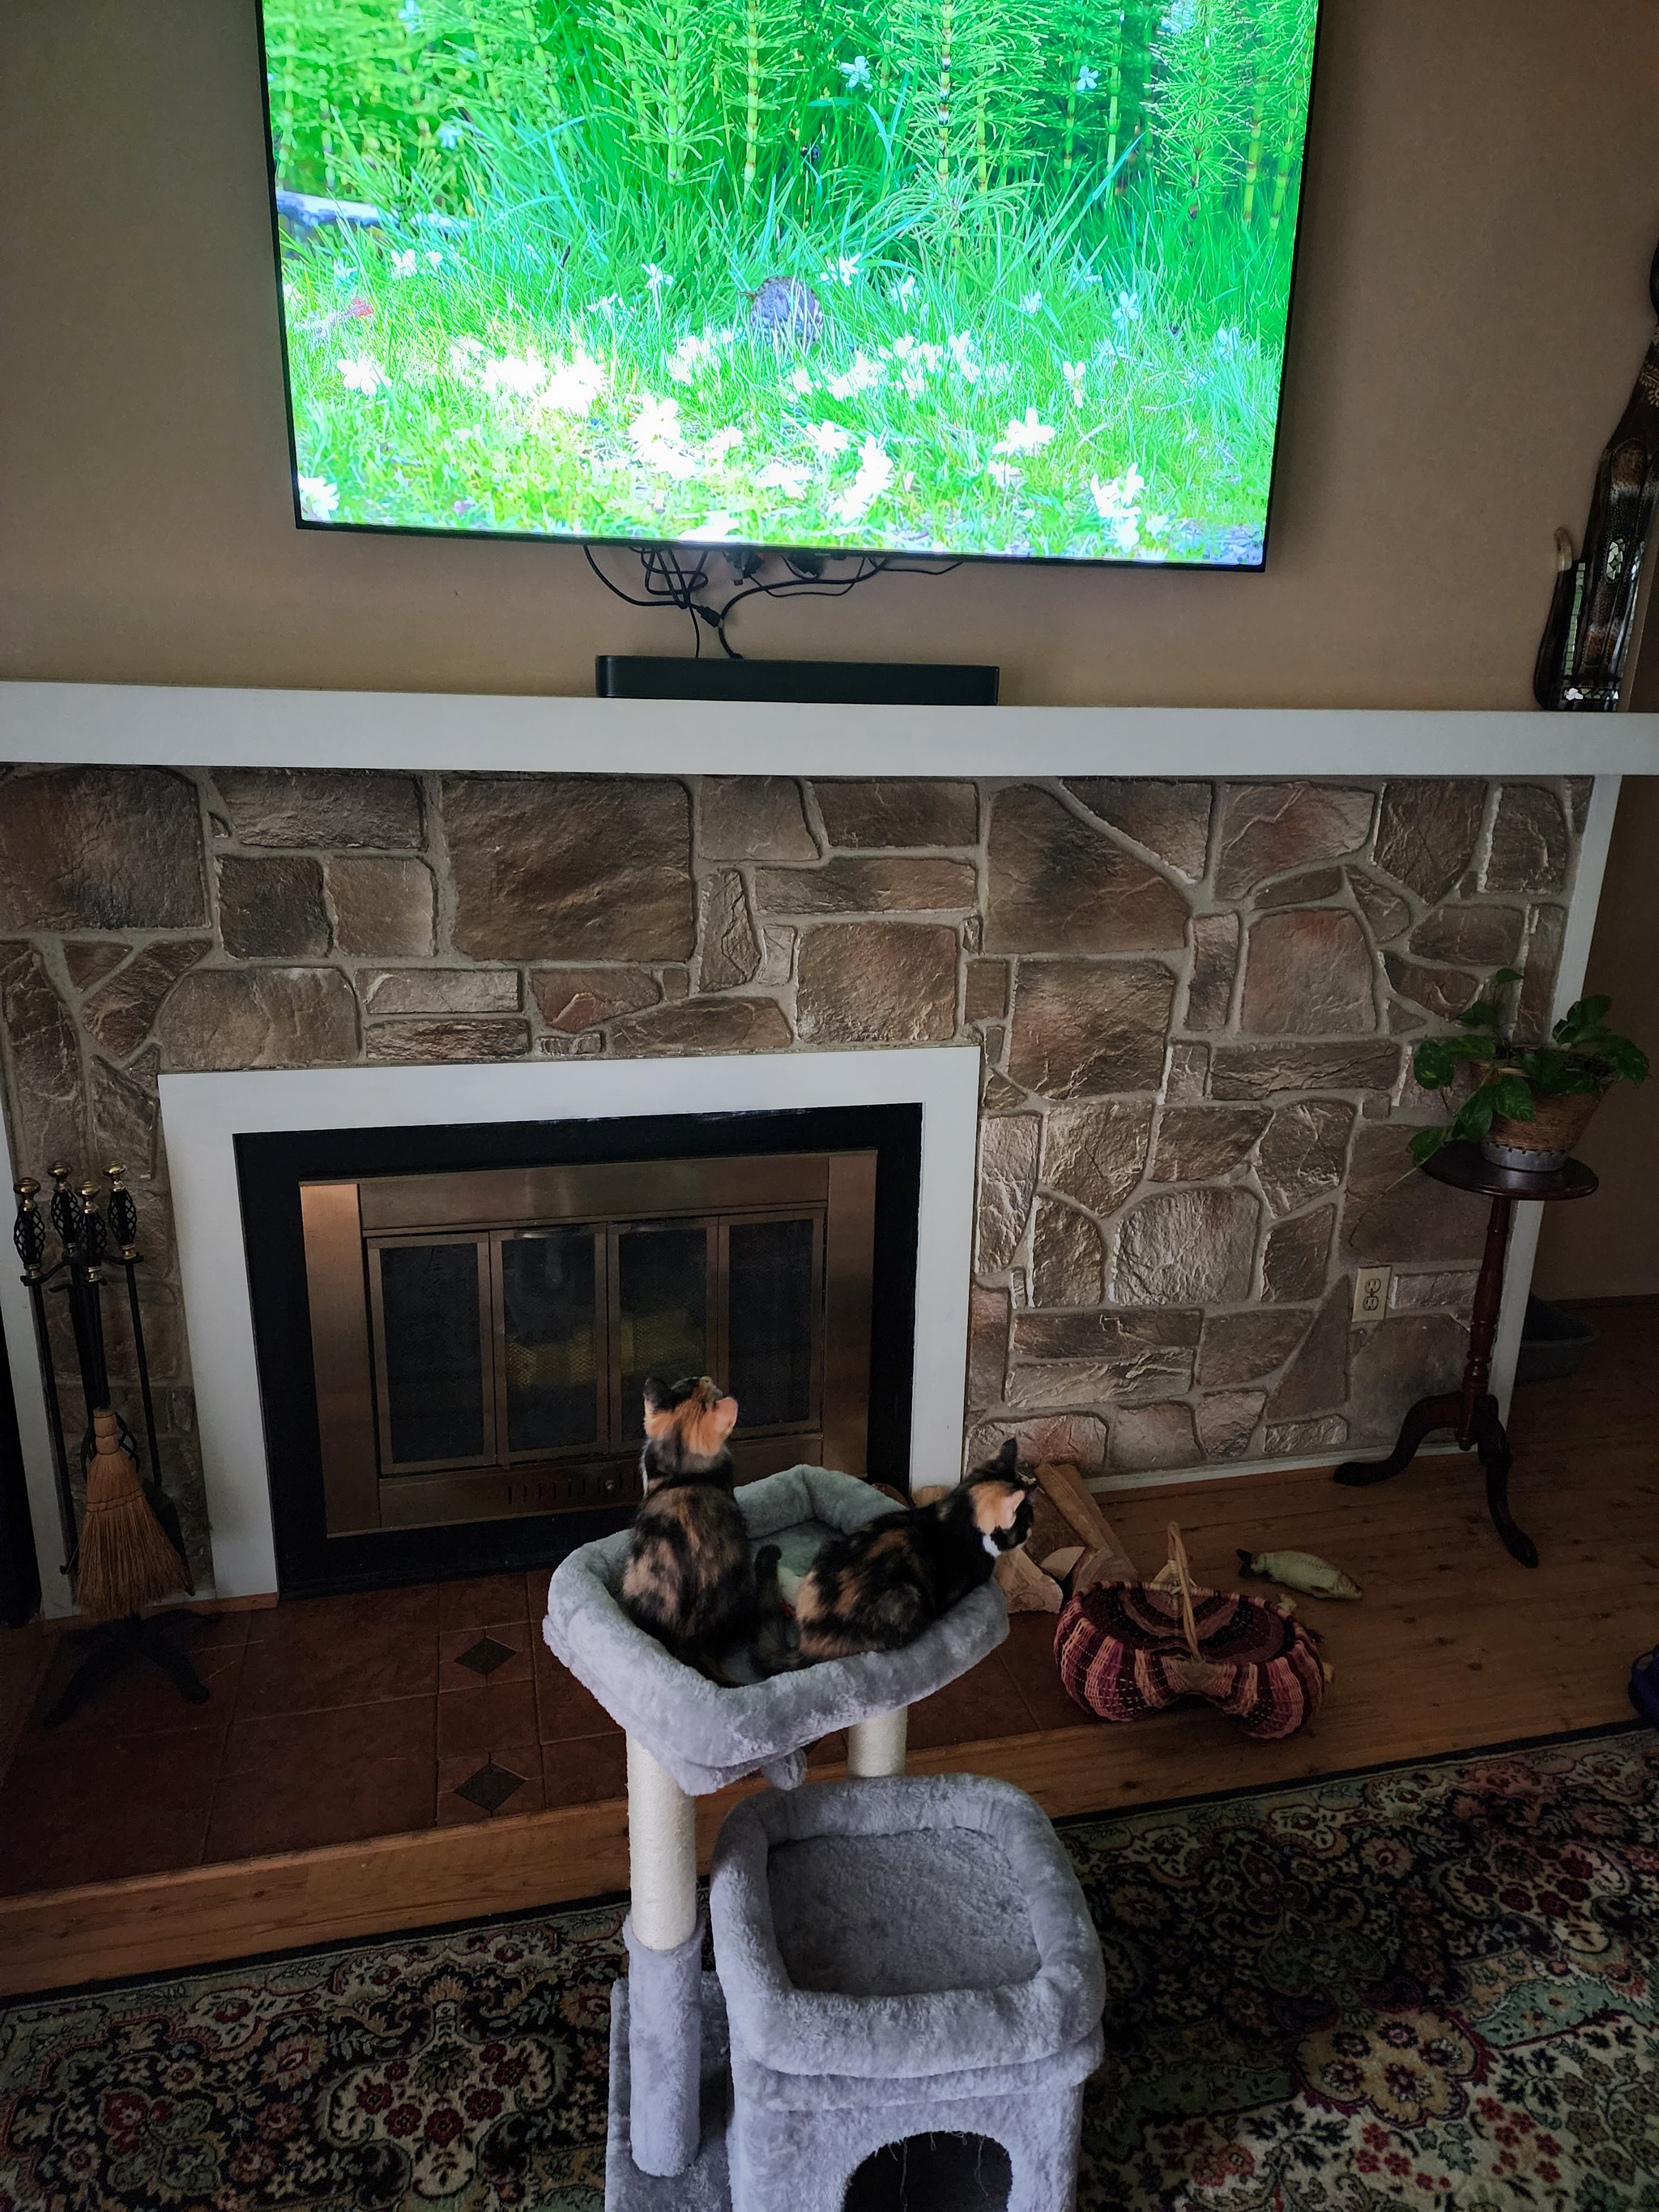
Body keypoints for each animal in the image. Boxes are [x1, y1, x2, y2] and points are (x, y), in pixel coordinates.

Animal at [789, 1438, 1036, 1664]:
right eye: (1025, 1522)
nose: (1031, 1532)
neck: (958, 1513)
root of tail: (809, 1642)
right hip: (907, 1596)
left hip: (829, 1547)